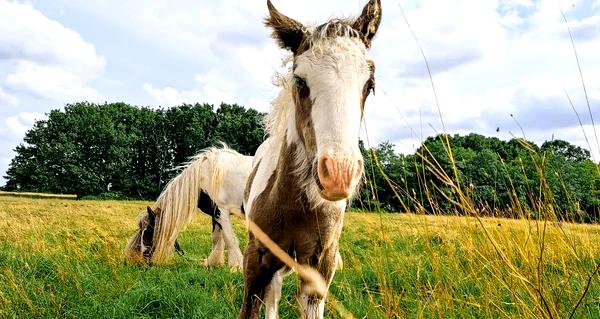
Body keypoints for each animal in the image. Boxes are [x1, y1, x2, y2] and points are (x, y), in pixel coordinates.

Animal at [123, 146, 251, 268]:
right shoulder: (215, 214)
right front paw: (213, 263)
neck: (206, 176)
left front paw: (235, 266)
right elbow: (217, 239)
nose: (142, 258)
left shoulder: (221, 211)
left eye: (147, 231)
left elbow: (229, 239)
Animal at [239, 1, 380, 318]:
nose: (339, 174)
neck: (295, 204)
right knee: (274, 294)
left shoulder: (321, 266)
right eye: (299, 80)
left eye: (370, 85)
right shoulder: (256, 258)